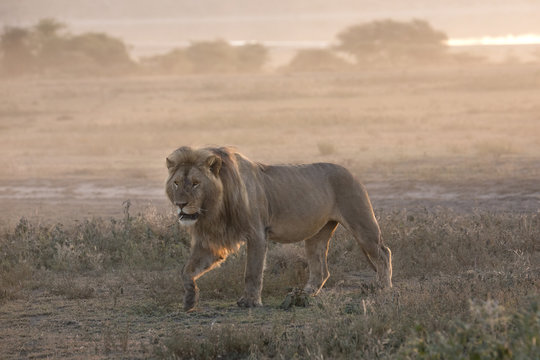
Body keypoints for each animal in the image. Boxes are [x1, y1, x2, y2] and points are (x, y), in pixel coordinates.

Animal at [166, 146, 392, 312]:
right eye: (176, 183)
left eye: (196, 183)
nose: (180, 204)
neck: (214, 208)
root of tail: (351, 172)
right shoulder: (211, 242)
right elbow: (186, 270)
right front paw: (189, 300)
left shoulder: (257, 233)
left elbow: (252, 271)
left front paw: (250, 302)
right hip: (317, 234)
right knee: (321, 269)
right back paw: (304, 294)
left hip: (361, 223)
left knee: (384, 252)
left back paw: (383, 286)